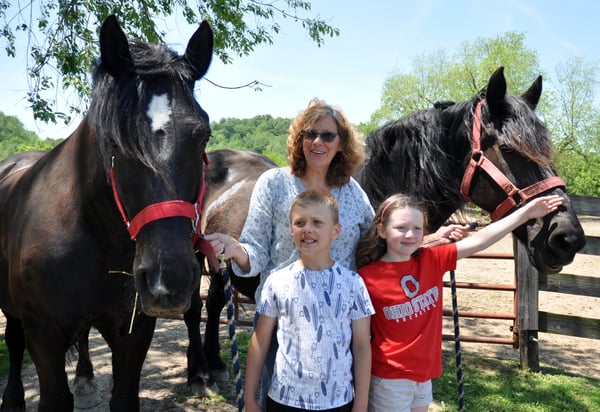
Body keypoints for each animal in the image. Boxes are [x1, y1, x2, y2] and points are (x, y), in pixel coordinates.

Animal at [0, 14, 214, 410]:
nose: (169, 279)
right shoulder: (43, 334)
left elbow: (124, 395)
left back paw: (85, 378)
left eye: (202, 136)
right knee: (14, 340)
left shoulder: (133, 331)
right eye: (116, 142)